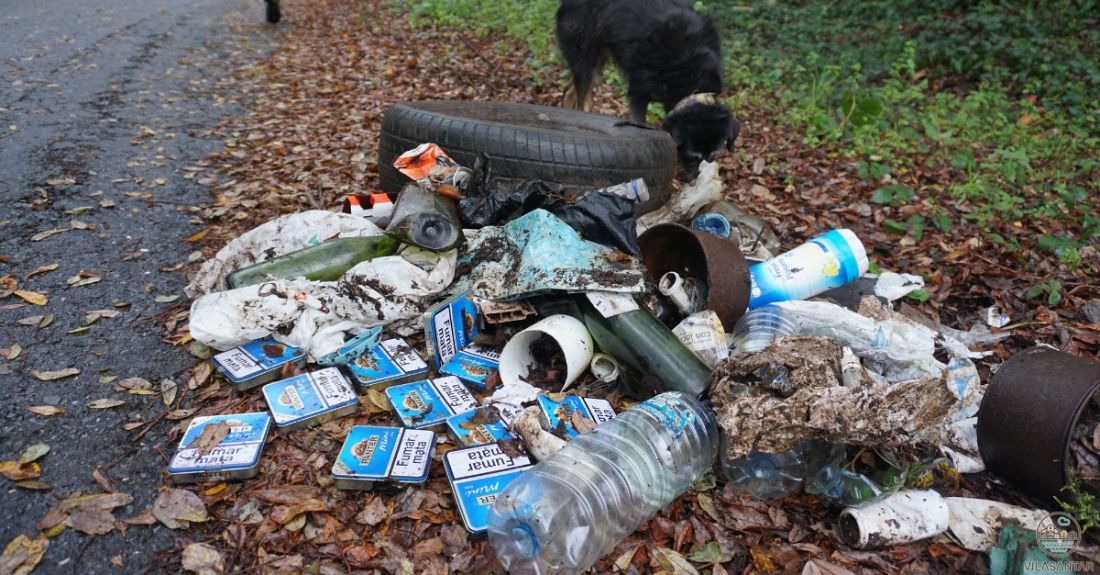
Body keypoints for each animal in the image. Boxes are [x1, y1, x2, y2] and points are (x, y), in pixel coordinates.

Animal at [558, 0, 739, 179]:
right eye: (689, 156)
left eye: (713, 157)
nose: (693, 178)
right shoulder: (638, 94)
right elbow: (640, 122)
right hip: (585, 54)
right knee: (582, 96)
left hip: (598, 58)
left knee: (569, 89)